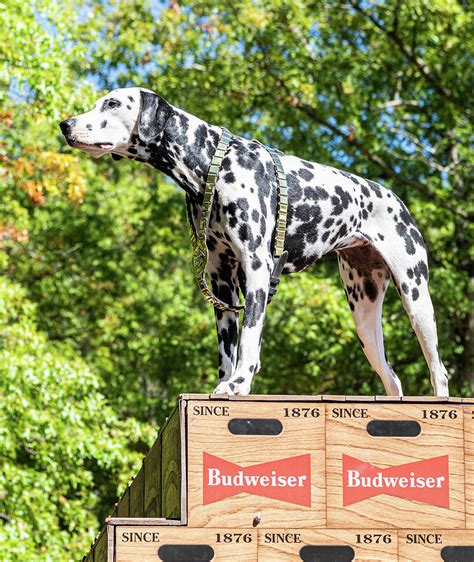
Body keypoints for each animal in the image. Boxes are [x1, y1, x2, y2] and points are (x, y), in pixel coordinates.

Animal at [59, 85, 448, 396]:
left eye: (112, 104)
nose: (65, 124)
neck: (212, 162)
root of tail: (394, 198)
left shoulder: (257, 269)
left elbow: (248, 341)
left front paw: (240, 384)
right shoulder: (221, 282)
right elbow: (226, 351)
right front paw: (226, 383)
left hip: (416, 301)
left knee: (438, 371)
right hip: (365, 319)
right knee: (392, 379)